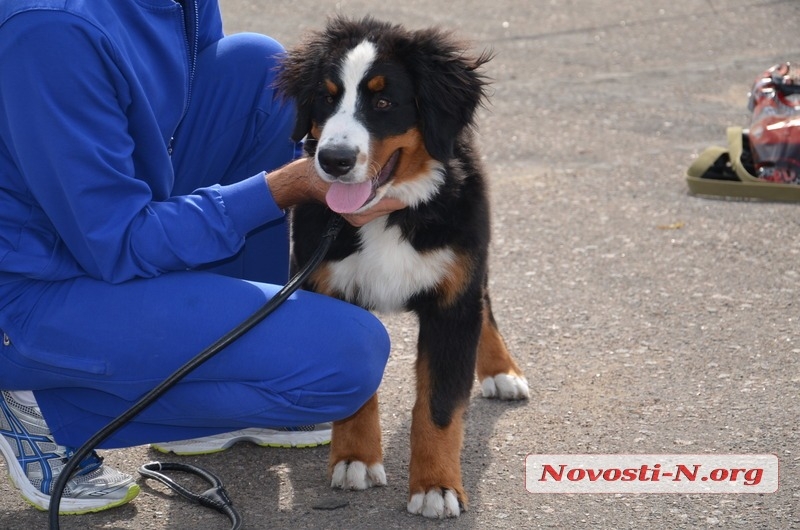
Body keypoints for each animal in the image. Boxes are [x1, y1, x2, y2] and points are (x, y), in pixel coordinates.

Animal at [276, 15, 532, 516]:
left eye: (383, 102)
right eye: (327, 97)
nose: (333, 160)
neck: (391, 213)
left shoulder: (451, 303)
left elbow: (438, 408)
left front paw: (436, 486)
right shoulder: (333, 290)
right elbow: (359, 392)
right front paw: (355, 458)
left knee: (485, 299)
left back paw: (501, 370)